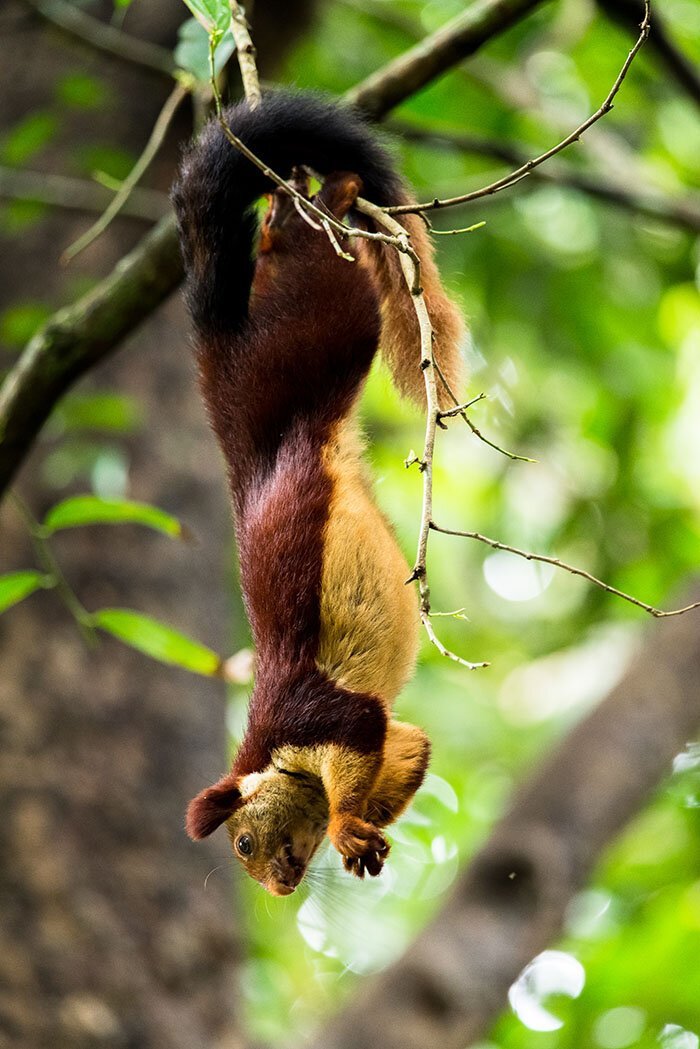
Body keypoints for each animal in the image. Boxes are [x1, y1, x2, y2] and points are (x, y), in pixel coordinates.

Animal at [172, 92, 461, 893]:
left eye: (243, 841)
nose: (278, 885)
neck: (275, 756)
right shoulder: (387, 731)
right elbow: (410, 744)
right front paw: (360, 836)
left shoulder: (319, 716)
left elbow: (358, 744)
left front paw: (339, 824)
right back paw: (280, 214)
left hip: (314, 331)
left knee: (324, 275)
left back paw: (322, 202)